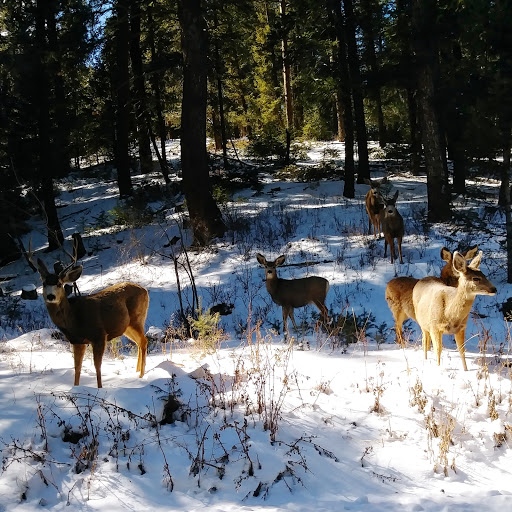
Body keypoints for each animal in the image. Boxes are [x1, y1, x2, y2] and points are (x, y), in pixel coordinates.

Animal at [28, 241, 149, 388]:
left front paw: (99, 388)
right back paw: (137, 372)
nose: (51, 296)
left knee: (144, 340)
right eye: (44, 283)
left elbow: (97, 367)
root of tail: (145, 290)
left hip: (137, 318)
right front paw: (76, 388)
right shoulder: (77, 341)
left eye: (59, 284)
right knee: (138, 342)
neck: (74, 319)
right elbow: (77, 368)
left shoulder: (99, 335)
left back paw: (142, 375)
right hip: (126, 326)